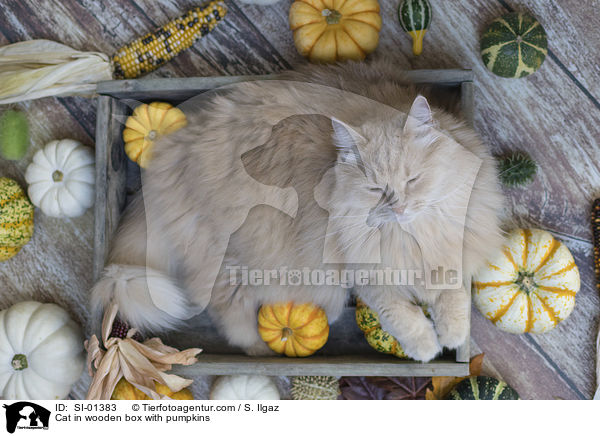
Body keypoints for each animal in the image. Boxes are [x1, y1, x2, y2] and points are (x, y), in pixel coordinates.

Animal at [91, 60, 504, 362]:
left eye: (413, 180)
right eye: (375, 189)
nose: (399, 207)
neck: (410, 237)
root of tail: (168, 157)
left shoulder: (456, 244)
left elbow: (454, 294)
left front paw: (454, 333)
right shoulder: (364, 273)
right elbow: (404, 317)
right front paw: (427, 348)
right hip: (234, 259)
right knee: (227, 311)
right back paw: (259, 350)